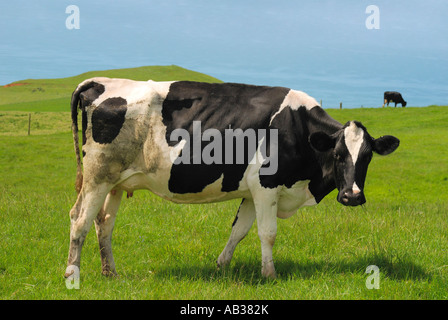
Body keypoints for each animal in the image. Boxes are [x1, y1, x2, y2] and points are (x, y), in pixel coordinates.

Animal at [65, 77, 400, 278]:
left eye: (367, 157)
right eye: (338, 155)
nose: (352, 196)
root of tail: (101, 81)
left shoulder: (252, 191)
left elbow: (239, 230)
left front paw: (221, 266)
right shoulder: (266, 186)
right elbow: (268, 232)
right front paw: (270, 275)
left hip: (116, 181)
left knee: (103, 222)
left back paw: (110, 272)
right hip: (97, 177)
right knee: (79, 220)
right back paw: (72, 273)